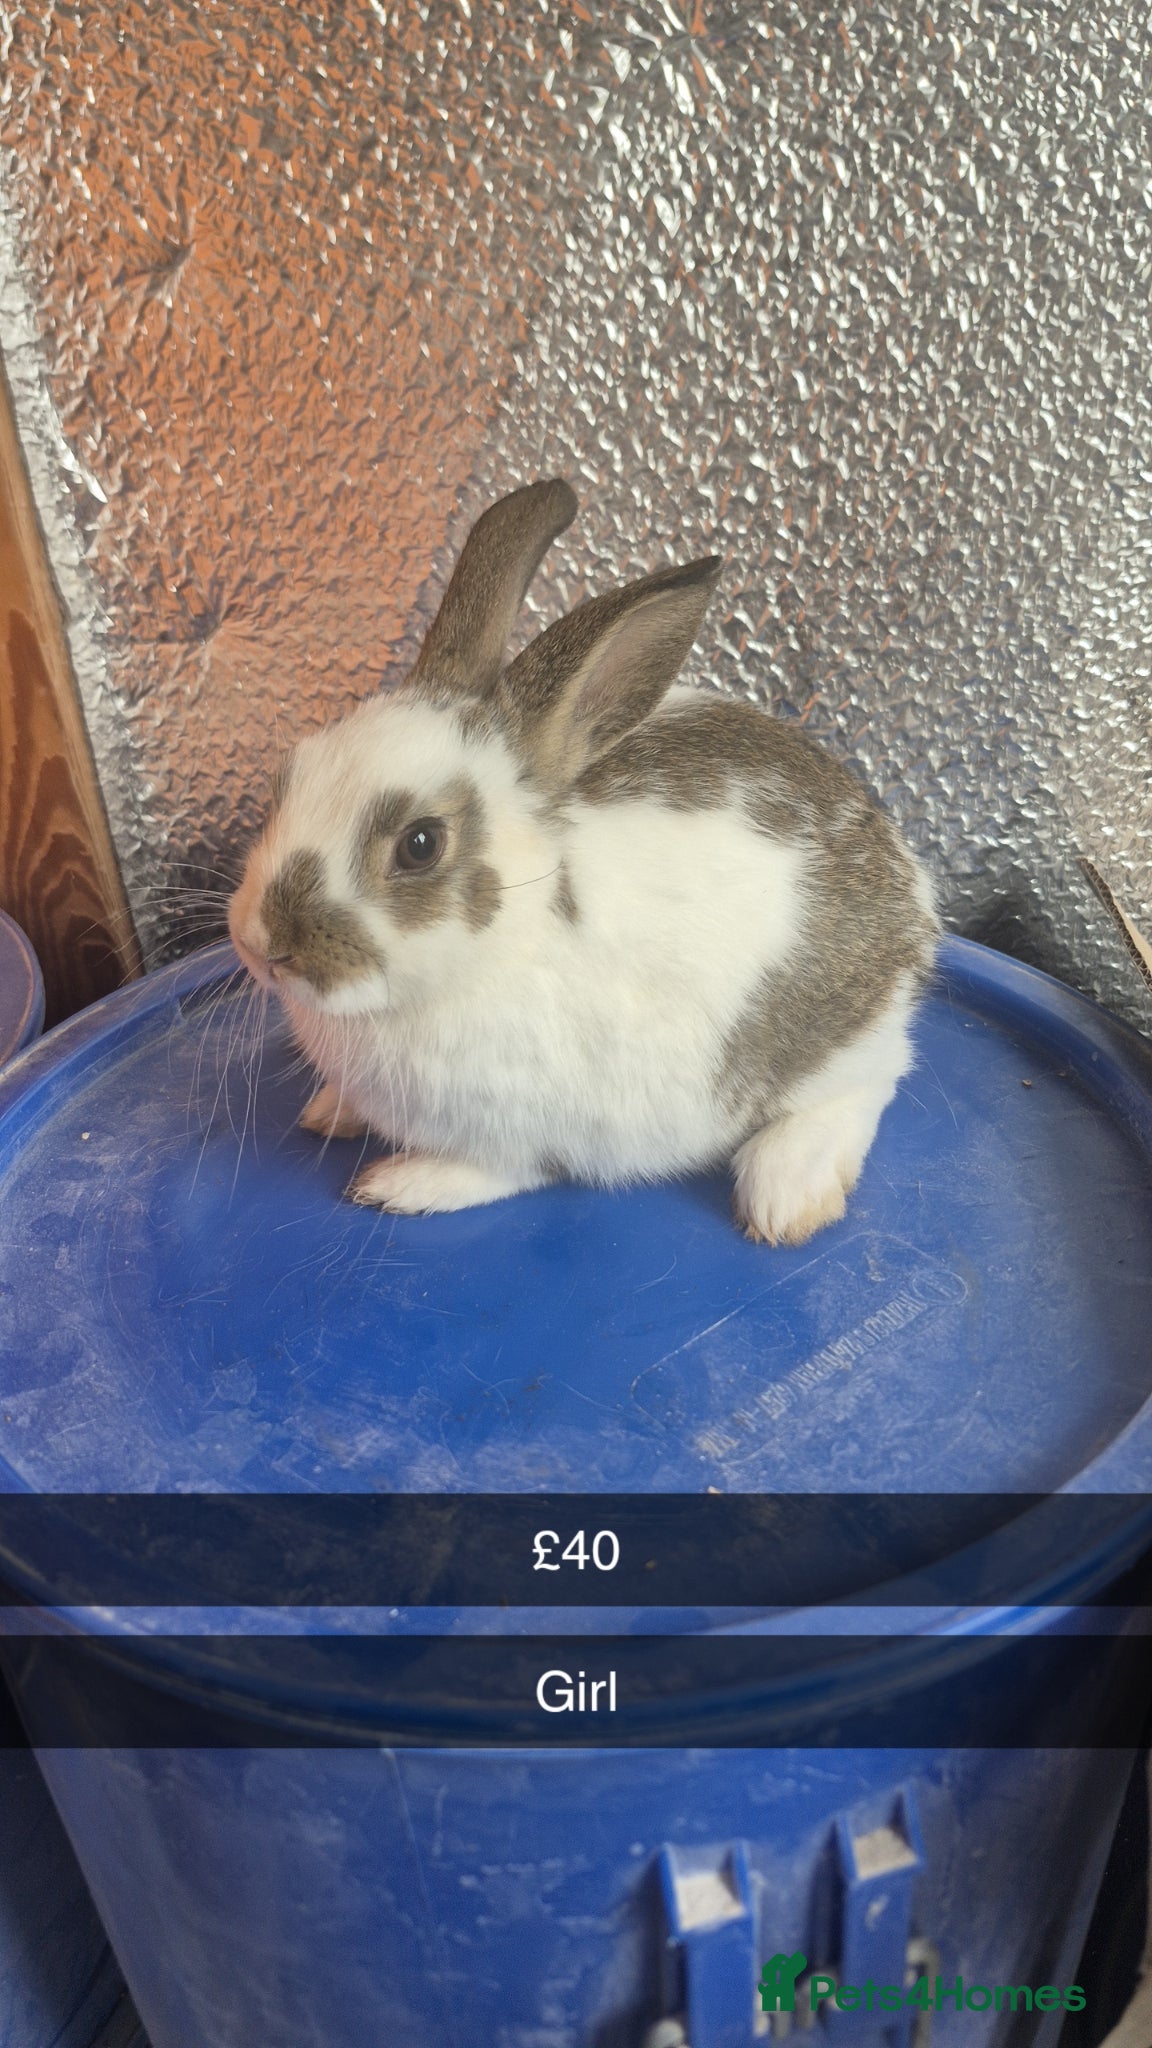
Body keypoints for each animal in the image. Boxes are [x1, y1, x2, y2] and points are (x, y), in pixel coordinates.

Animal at [228, 478, 939, 1244]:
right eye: (290, 775)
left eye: (420, 844)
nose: (261, 945)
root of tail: (909, 886)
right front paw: (332, 1109)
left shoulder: (526, 1129)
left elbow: (495, 1172)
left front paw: (405, 1184)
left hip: (835, 1042)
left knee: (871, 1084)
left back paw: (785, 1195)